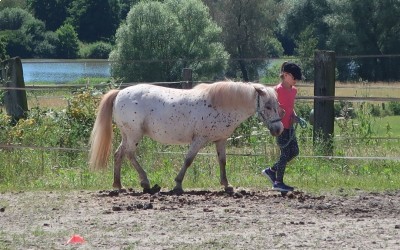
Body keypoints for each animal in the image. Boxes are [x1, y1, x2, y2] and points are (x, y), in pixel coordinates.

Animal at [90, 81, 284, 194]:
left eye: (277, 104)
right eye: (267, 106)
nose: (278, 129)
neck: (220, 104)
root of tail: (120, 93)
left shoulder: (220, 140)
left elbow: (222, 161)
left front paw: (227, 185)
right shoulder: (199, 140)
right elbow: (188, 160)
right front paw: (177, 184)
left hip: (127, 135)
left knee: (119, 154)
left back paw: (119, 185)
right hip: (133, 135)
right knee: (129, 155)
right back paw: (145, 182)